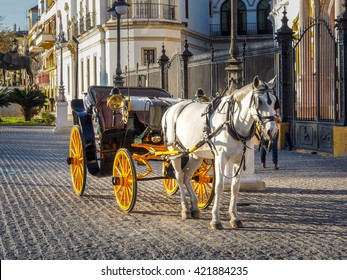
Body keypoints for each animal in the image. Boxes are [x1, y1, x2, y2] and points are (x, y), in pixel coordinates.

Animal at [163, 75, 280, 229]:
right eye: (259, 101)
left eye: (274, 102)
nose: (272, 131)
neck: (232, 122)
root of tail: (171, 108)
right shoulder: (220, 158)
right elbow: (218, 187)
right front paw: (215, 219)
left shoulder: (239, 159)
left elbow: (235, 187)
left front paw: (235, 217)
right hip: (174, 150)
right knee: (178, 175)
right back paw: (185, 208)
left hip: (196, 155)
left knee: (187, 176)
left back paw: (194, 207)